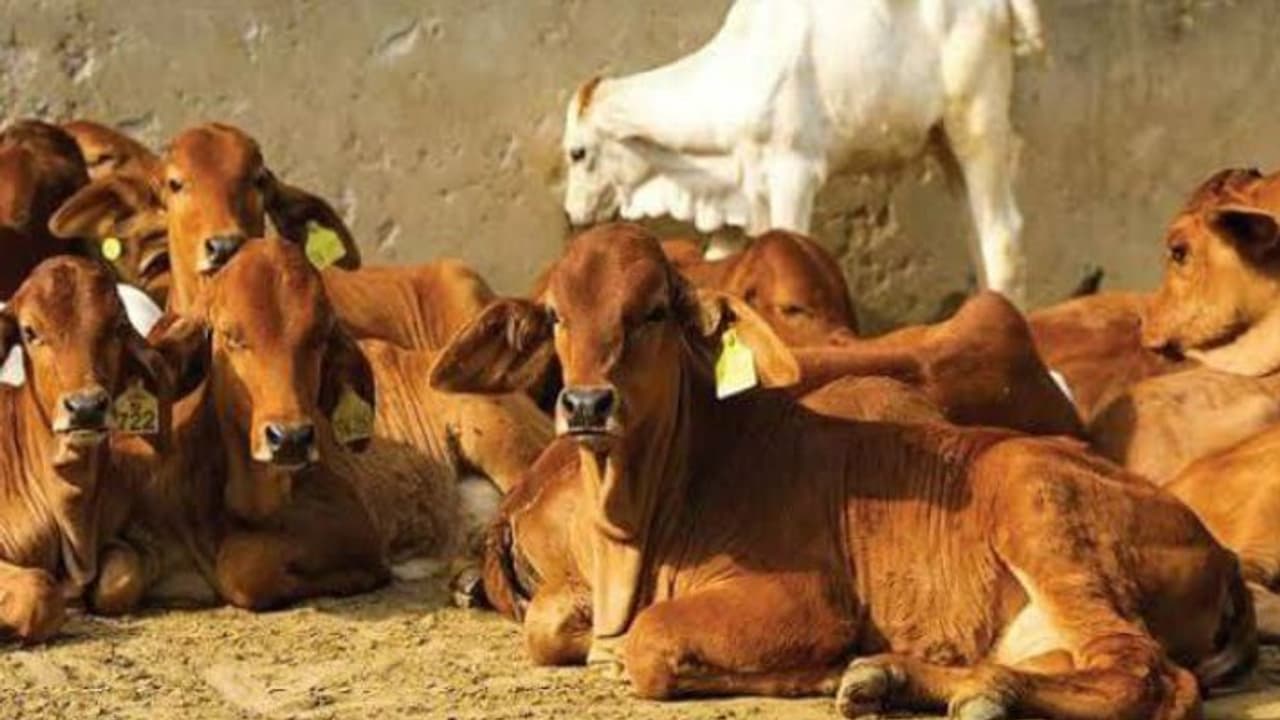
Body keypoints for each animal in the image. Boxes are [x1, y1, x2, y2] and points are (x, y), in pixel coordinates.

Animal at [431, 223, 1252, 719]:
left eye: (654, 311)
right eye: (556, 316)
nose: (586, 404)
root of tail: (1216, 549)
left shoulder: (812, 598)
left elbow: (649, 645)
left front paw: (820, 667)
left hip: (1040, 509)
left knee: (1145, 673)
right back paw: (900, 678)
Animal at [562, 0, 1044, 305]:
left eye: (578, 153)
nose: (572, 213)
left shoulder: (794, 173)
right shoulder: (737, 196)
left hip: (978, 123)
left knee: (1003, 236)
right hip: (944, 140)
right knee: (976, 232)